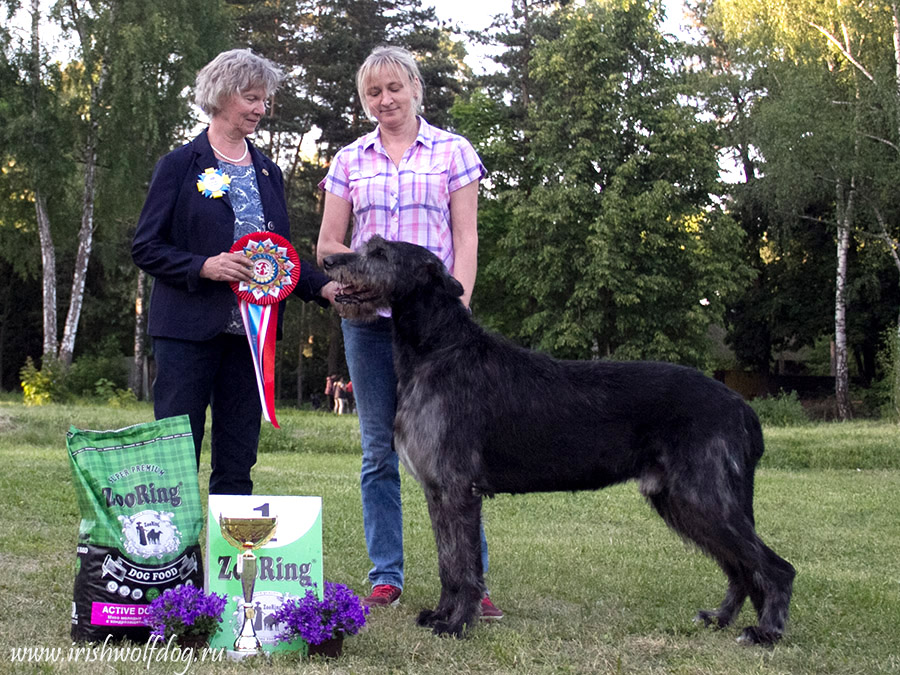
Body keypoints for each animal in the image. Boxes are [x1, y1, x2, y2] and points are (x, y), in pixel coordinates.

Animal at [324, 236, 796, 644]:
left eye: (380, 252)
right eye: (366, 244)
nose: (329, 260)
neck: (437, 348)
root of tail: (743, 409)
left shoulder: (457, 488)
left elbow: (464, 565)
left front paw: (457, 624)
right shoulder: (437, 491)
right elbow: (447, 563)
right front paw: (441, 614)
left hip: (704, 494)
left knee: (775, 567)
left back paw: (766, 633)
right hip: (681, 499)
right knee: (739, 568)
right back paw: (720, 618)